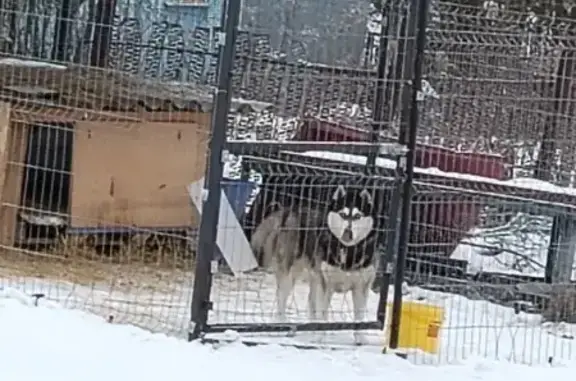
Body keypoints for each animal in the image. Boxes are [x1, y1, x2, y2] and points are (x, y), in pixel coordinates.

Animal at [251, 185, 378, 344]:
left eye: (357, 216)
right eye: (343, 214)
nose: (347, 232)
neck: (347, 251)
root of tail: (289, 210)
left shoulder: (362, 287)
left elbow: (359, 316)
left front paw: (361, 339)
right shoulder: (326, 284)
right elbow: (322, 313)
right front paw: (319, 336)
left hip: (314, 276)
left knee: (310, 302)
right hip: (291, 274)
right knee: (281, 298)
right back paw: (282, 325)